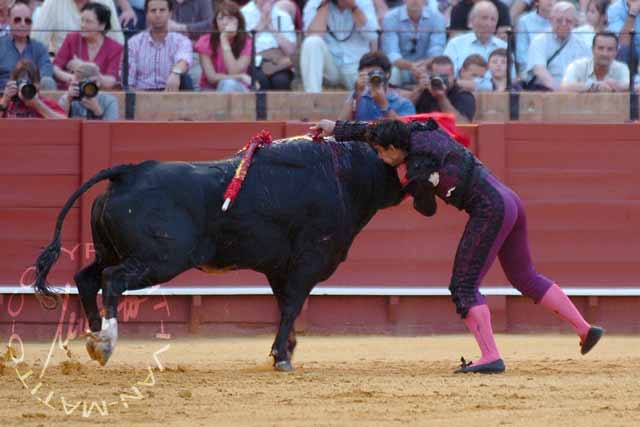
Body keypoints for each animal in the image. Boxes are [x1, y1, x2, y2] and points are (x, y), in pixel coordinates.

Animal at [32, 136, 402, 372]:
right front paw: (282, 357)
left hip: (110, 250)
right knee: (112, 279)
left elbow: (286, 306)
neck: (344, 173)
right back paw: (107, 341)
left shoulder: (278, 268)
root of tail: (130, 171)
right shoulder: (306, 264)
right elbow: (292, 306)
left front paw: (284, 351)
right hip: (160, 260)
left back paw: (94, 338)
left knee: (87, 277)